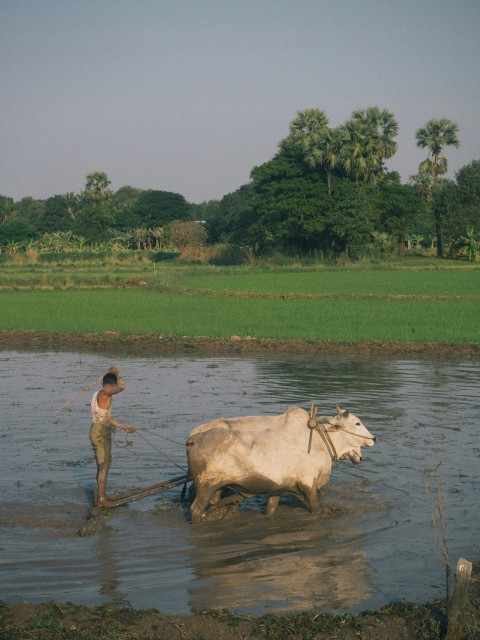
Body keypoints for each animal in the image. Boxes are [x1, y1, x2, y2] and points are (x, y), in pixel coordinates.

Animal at [186, 405, 375, 523]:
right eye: (357, 422)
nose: (373, 438)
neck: (320, 441)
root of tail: (193, 438)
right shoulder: (308, 483)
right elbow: (315, 508)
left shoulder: (277, 489)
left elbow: (271, 510)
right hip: (206, 486)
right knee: (195, 509)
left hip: (217, 488)